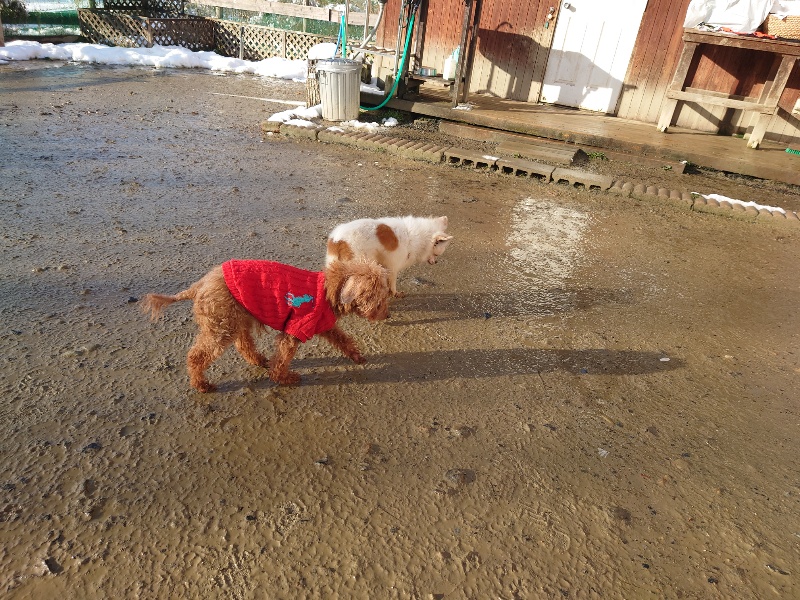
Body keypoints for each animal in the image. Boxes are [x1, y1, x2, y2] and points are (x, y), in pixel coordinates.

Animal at [141, 258, 390, 392]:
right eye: (379, 300)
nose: (387, 315)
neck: (330, 290)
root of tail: (198, 286)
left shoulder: (323, 325)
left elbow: (343, 339)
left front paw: (358, 357)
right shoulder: (295, 329)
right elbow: (282, 358)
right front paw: (284, 379)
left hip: (237, 318)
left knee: (243, 344)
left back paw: (259, 360)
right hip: (222, 326)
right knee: (196, 356)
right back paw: (201, 384)